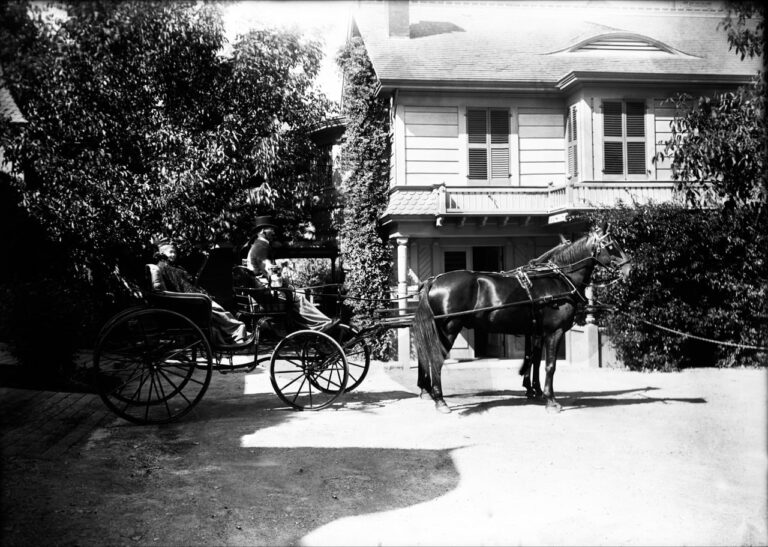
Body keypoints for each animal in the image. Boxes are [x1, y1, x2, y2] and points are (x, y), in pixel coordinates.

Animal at [414, 222, 632, 412]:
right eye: (611, 244)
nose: (628, 268)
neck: (558, 279)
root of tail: (434, 281)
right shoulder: (554, 332)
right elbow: (549, 365)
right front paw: (550, 400)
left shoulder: (536, 332)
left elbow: (534, 360)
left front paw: (535, 390)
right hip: (449, 330)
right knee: (436, 360)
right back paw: (440, 400)